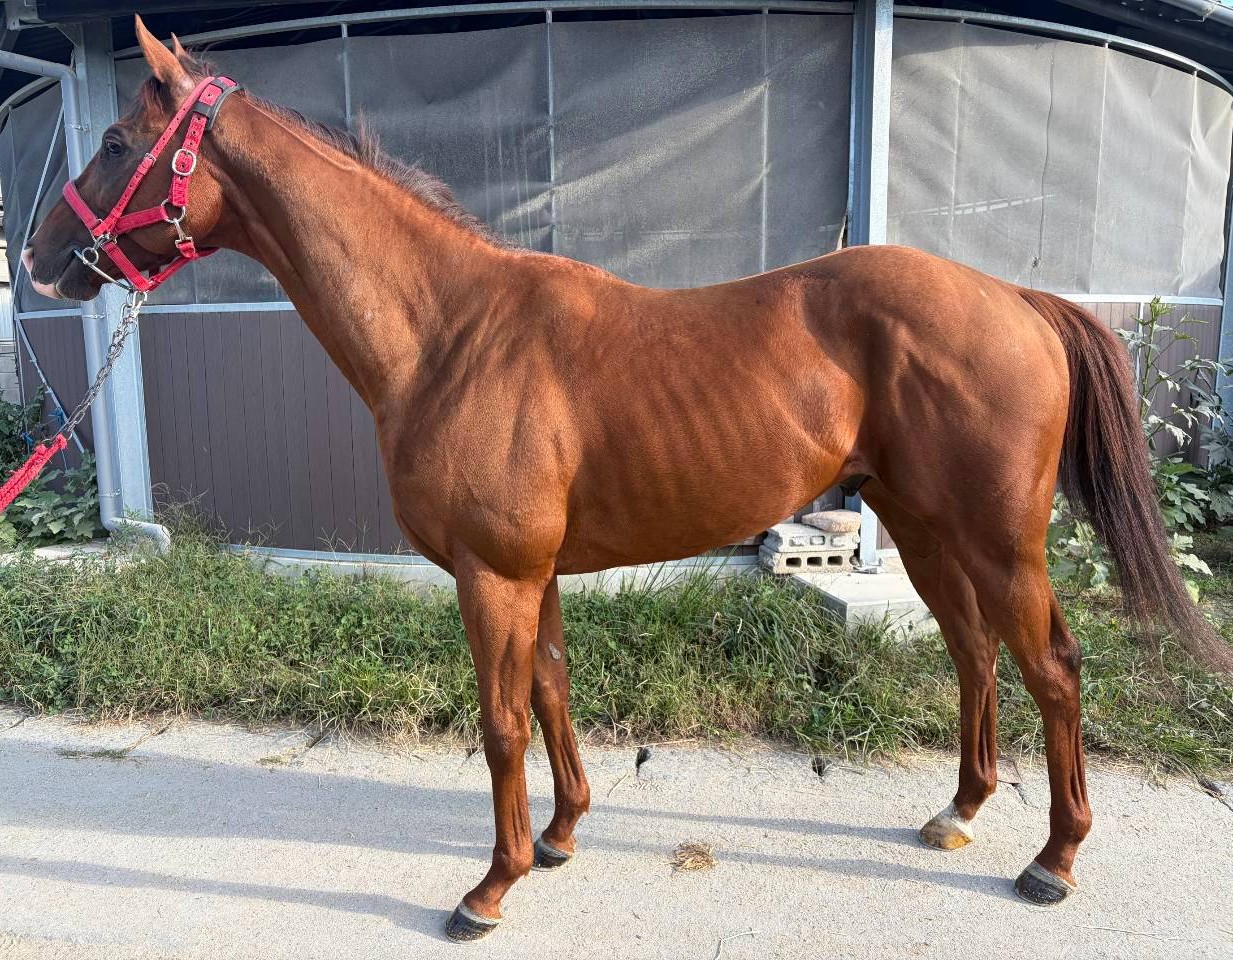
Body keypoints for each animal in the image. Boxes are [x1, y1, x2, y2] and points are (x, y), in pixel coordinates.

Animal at [24, 17, 1230, 942]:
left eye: (119, 140)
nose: (34, 259)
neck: (450, 333)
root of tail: (1015, 300)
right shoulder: (535, 573)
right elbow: (552, 691)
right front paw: (559, 837)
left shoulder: (493, 576)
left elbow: (500, 721)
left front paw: (489, 887)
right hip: (928, 530)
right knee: (975, 655)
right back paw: (959, 812)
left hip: (997, 538)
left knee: (1053, 669)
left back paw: (1053, 860)